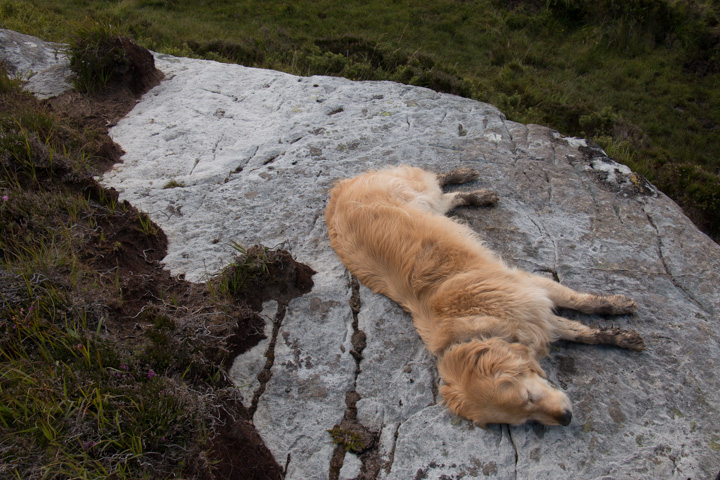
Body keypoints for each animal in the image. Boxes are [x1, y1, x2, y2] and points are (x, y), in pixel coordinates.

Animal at [326, 166, 648, 428]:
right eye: (527, 418)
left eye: (529, 396)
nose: (566, 419)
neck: (477, 325)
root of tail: (338, 190)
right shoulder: (534, 317)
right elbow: (579, 331)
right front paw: (617, 335)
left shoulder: (532, 290)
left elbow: (581, 306)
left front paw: (618, 314)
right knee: (448, 195)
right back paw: (478, 193)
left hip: (418, 192)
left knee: (435, 180)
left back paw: (466, 178)